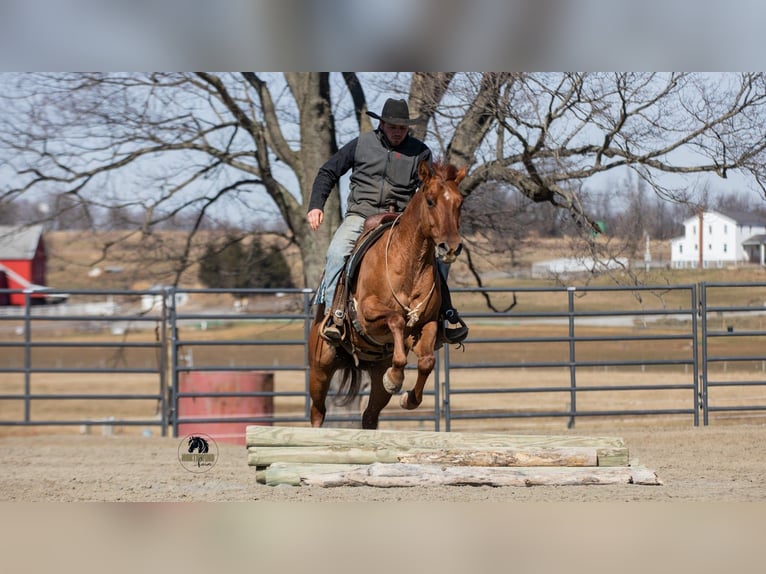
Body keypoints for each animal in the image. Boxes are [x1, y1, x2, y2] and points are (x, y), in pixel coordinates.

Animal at [308, 160, 467, 429]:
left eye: (460, 202)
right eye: (430, 201)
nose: (451, 247)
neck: (408, 263)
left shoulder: (427, 323)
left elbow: (427, 361)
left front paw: (408, 397)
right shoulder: (367, 313)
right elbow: (396, 320)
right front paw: (394, 378)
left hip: (374, 372)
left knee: (370, 416)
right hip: (321, 366)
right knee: (318, 412)